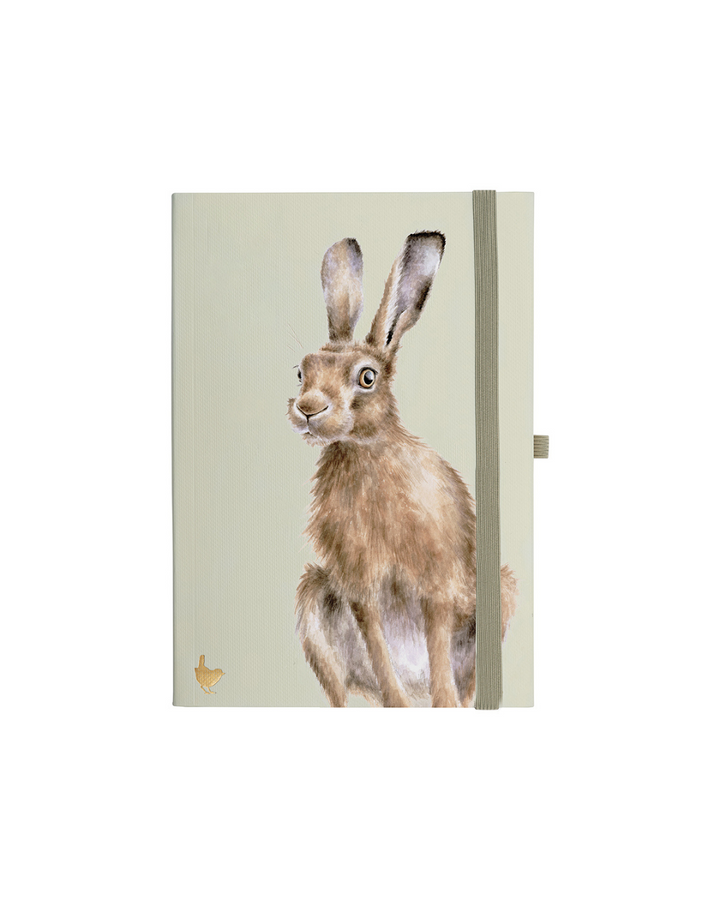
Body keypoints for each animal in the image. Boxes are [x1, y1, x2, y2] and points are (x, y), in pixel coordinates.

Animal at [288, 232, 518, 707]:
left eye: (367, 377)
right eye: (301, 372)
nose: (308, 409)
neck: (364, 453)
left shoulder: (437, 582)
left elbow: (438, 647)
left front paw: (443, 703)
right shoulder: (359, 587)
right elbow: (378, 648)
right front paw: (399, 703)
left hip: (499, 594)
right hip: (313, 596)